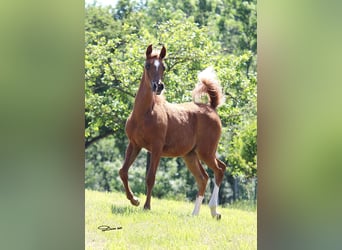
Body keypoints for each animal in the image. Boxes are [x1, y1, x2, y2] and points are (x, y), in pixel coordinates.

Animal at [119, 45, 226, 219]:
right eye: (147, 65)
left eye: (163, 67)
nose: (158, 86)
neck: (144, 114)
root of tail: (211, 107)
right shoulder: (134, 144)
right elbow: (123, 171)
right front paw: (134, 200)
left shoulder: (156, 148)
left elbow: (150, 177)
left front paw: (146, 206)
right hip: (191, 155)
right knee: (204, 177)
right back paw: (195, 214)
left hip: (206, 152)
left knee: (219, 170)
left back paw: (214, 210)